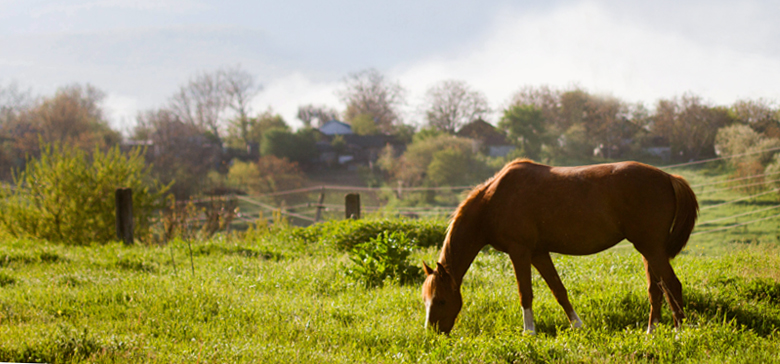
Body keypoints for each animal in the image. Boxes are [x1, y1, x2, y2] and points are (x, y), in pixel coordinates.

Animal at [424, 159, 696, 336]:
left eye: (441, 301)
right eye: (425, 300)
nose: (432, 334)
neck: (492, 200)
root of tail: (669, 178)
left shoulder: (519, 251)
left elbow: (525, 293)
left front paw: (529, 333)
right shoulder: (538, 253)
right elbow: (559, 290)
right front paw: (577, 326)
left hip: (652, 248)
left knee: (672, 285)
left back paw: (679, 333)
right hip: (648, 249)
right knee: (656, 289)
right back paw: (652, 332)